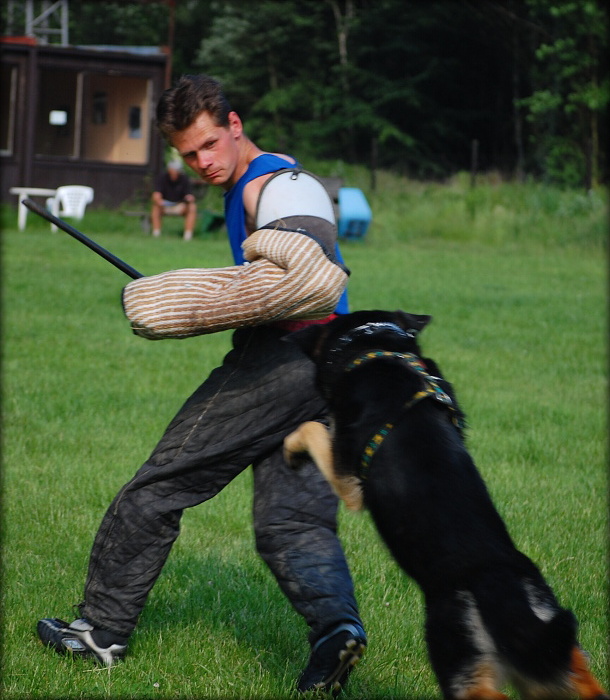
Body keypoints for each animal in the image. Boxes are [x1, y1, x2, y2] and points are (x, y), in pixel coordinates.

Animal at [282, 310, 604, 700]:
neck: (373, 345)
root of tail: (499, 584)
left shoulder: (348, 480)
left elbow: (309, 428)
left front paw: (291, 451)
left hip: (458, 655)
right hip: (547, 660)